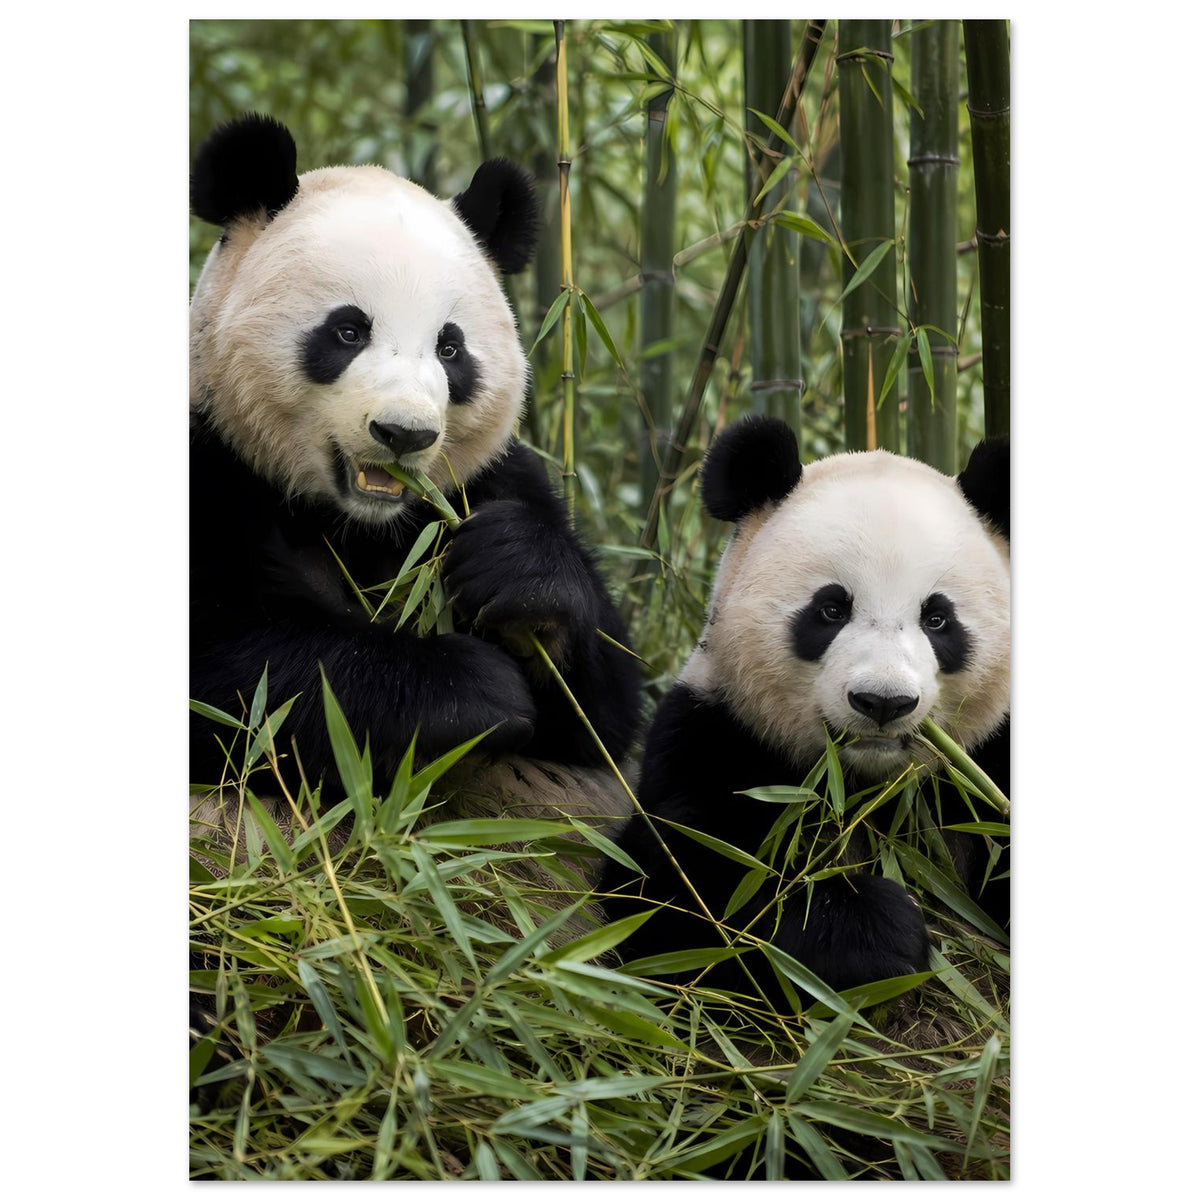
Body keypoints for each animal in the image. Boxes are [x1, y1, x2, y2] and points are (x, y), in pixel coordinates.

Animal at [189, 114, 641, 870]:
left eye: (450, 348)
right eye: (347, 330)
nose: (403, 433)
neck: (358, 522)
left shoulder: (485, 481)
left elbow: (602, 718)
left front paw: (519, 578)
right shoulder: (212, 464)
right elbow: (238, 682)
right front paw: (473, 689)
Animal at [601, 415, 1009, 1010]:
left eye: (938, 619)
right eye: (831, 609)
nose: (883, 702)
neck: (864, 787)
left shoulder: (988, 761)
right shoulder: (717, 735)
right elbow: (682, 891)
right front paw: (873, 932)